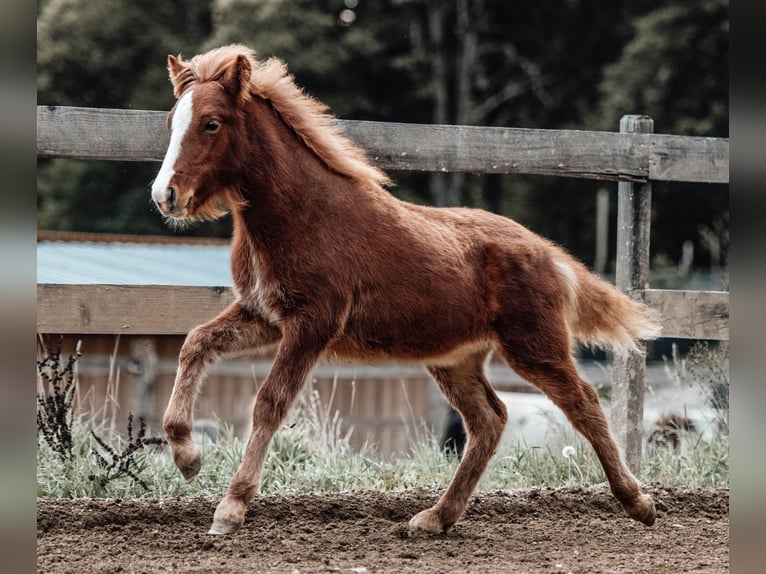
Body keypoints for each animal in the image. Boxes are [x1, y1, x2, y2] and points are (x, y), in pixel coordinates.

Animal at [150, 44, 661, 535]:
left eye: (211, 123)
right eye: (172, 122)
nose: (164, 196)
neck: (302, 216)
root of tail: (550, 254)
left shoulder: (312, 323)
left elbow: (269, 403)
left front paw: (231, 508)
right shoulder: (264, 315)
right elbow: (196, 344)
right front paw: (187, 457)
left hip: (534, 345)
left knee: (584, 403)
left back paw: (639, 502)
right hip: (455, 359)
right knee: (489, 419)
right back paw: (434, 518)